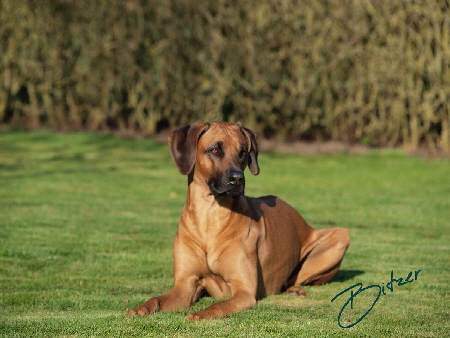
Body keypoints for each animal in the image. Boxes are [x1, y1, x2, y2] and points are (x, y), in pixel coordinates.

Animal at [126, 121, 352, 320]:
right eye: (215, 150)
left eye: (243, 152)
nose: (237, 179)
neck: (209, 215)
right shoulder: (185, 284)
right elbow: (157, 299)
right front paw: (140, 308)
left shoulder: (244, 292)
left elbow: (219, 305)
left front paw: (201, 314)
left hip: (341, 236)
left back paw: (295, 289)